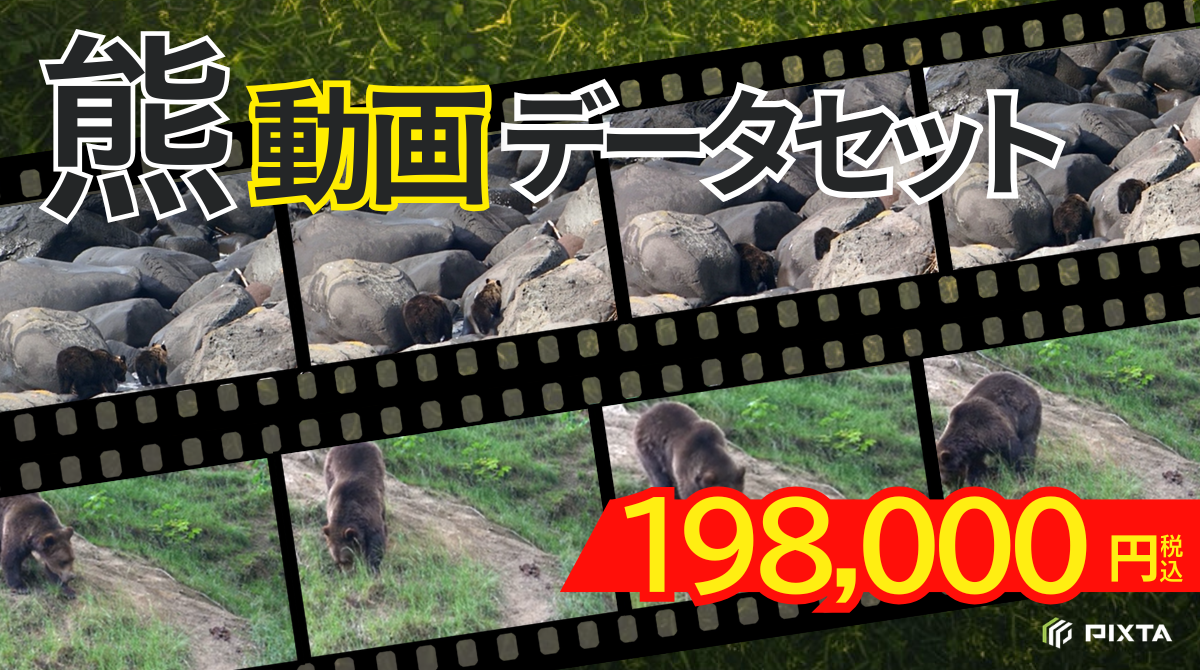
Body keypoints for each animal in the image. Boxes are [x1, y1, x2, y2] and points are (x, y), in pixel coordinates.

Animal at [323, 442, 388, 574]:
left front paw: (372, 566)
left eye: (346, 559)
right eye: (338, 560)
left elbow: (376, 543)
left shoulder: (370, 515)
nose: (346, 574)